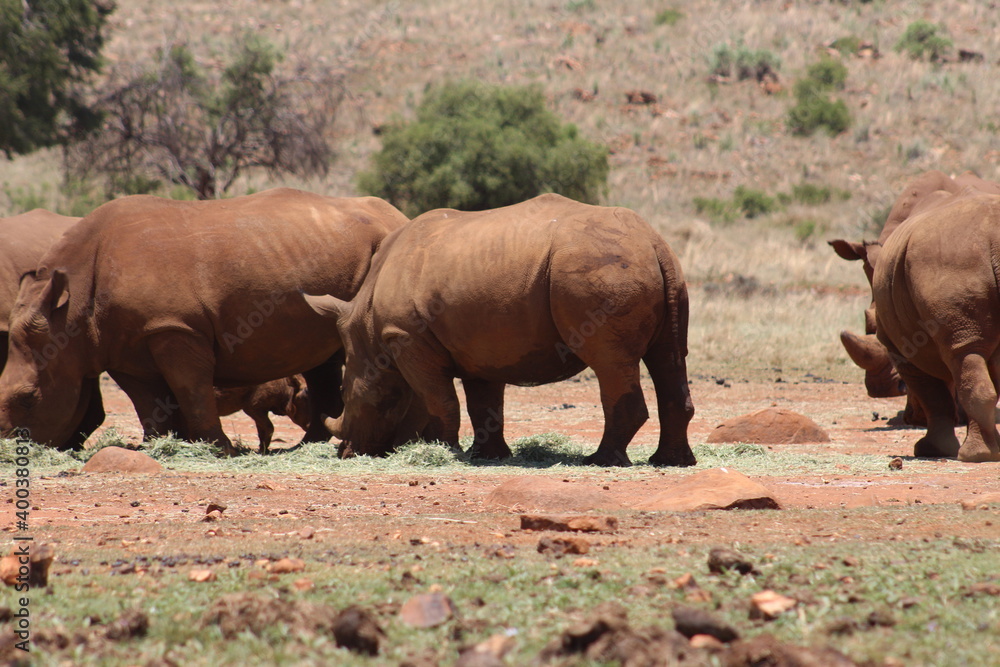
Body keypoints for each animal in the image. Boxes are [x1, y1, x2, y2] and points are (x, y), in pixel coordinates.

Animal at [0, 189, 408, 454]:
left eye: (27, 399)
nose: (9, 444)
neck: (71, 310)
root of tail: (397, 216)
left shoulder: (175, 328)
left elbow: (191, 387)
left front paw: (219, 448)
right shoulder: (121, 343)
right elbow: (147, 400)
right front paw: (159, 445)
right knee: (322, 357)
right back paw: (309, 445)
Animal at [307, 194, 695, 467]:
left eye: (346, 394)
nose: (346, 452)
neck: (367, 327)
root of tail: (653, 242)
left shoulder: (404, 337)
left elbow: (440, 399)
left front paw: (446, 453)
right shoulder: (479, 345)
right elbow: (484, 403)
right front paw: (488, 456)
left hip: (601, 267)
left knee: (610, 362)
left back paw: (600, 461)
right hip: (660, 271)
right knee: (669, 357)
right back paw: (670, 462)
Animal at [873, 192, 1000, 462]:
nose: (909, 418)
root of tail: (993, 240)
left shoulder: (899, 349)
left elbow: (932, 396)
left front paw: (930, 450)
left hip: (951, 259)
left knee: (964, 354)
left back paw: (974, 456)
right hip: (958, 259)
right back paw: (984, 453)